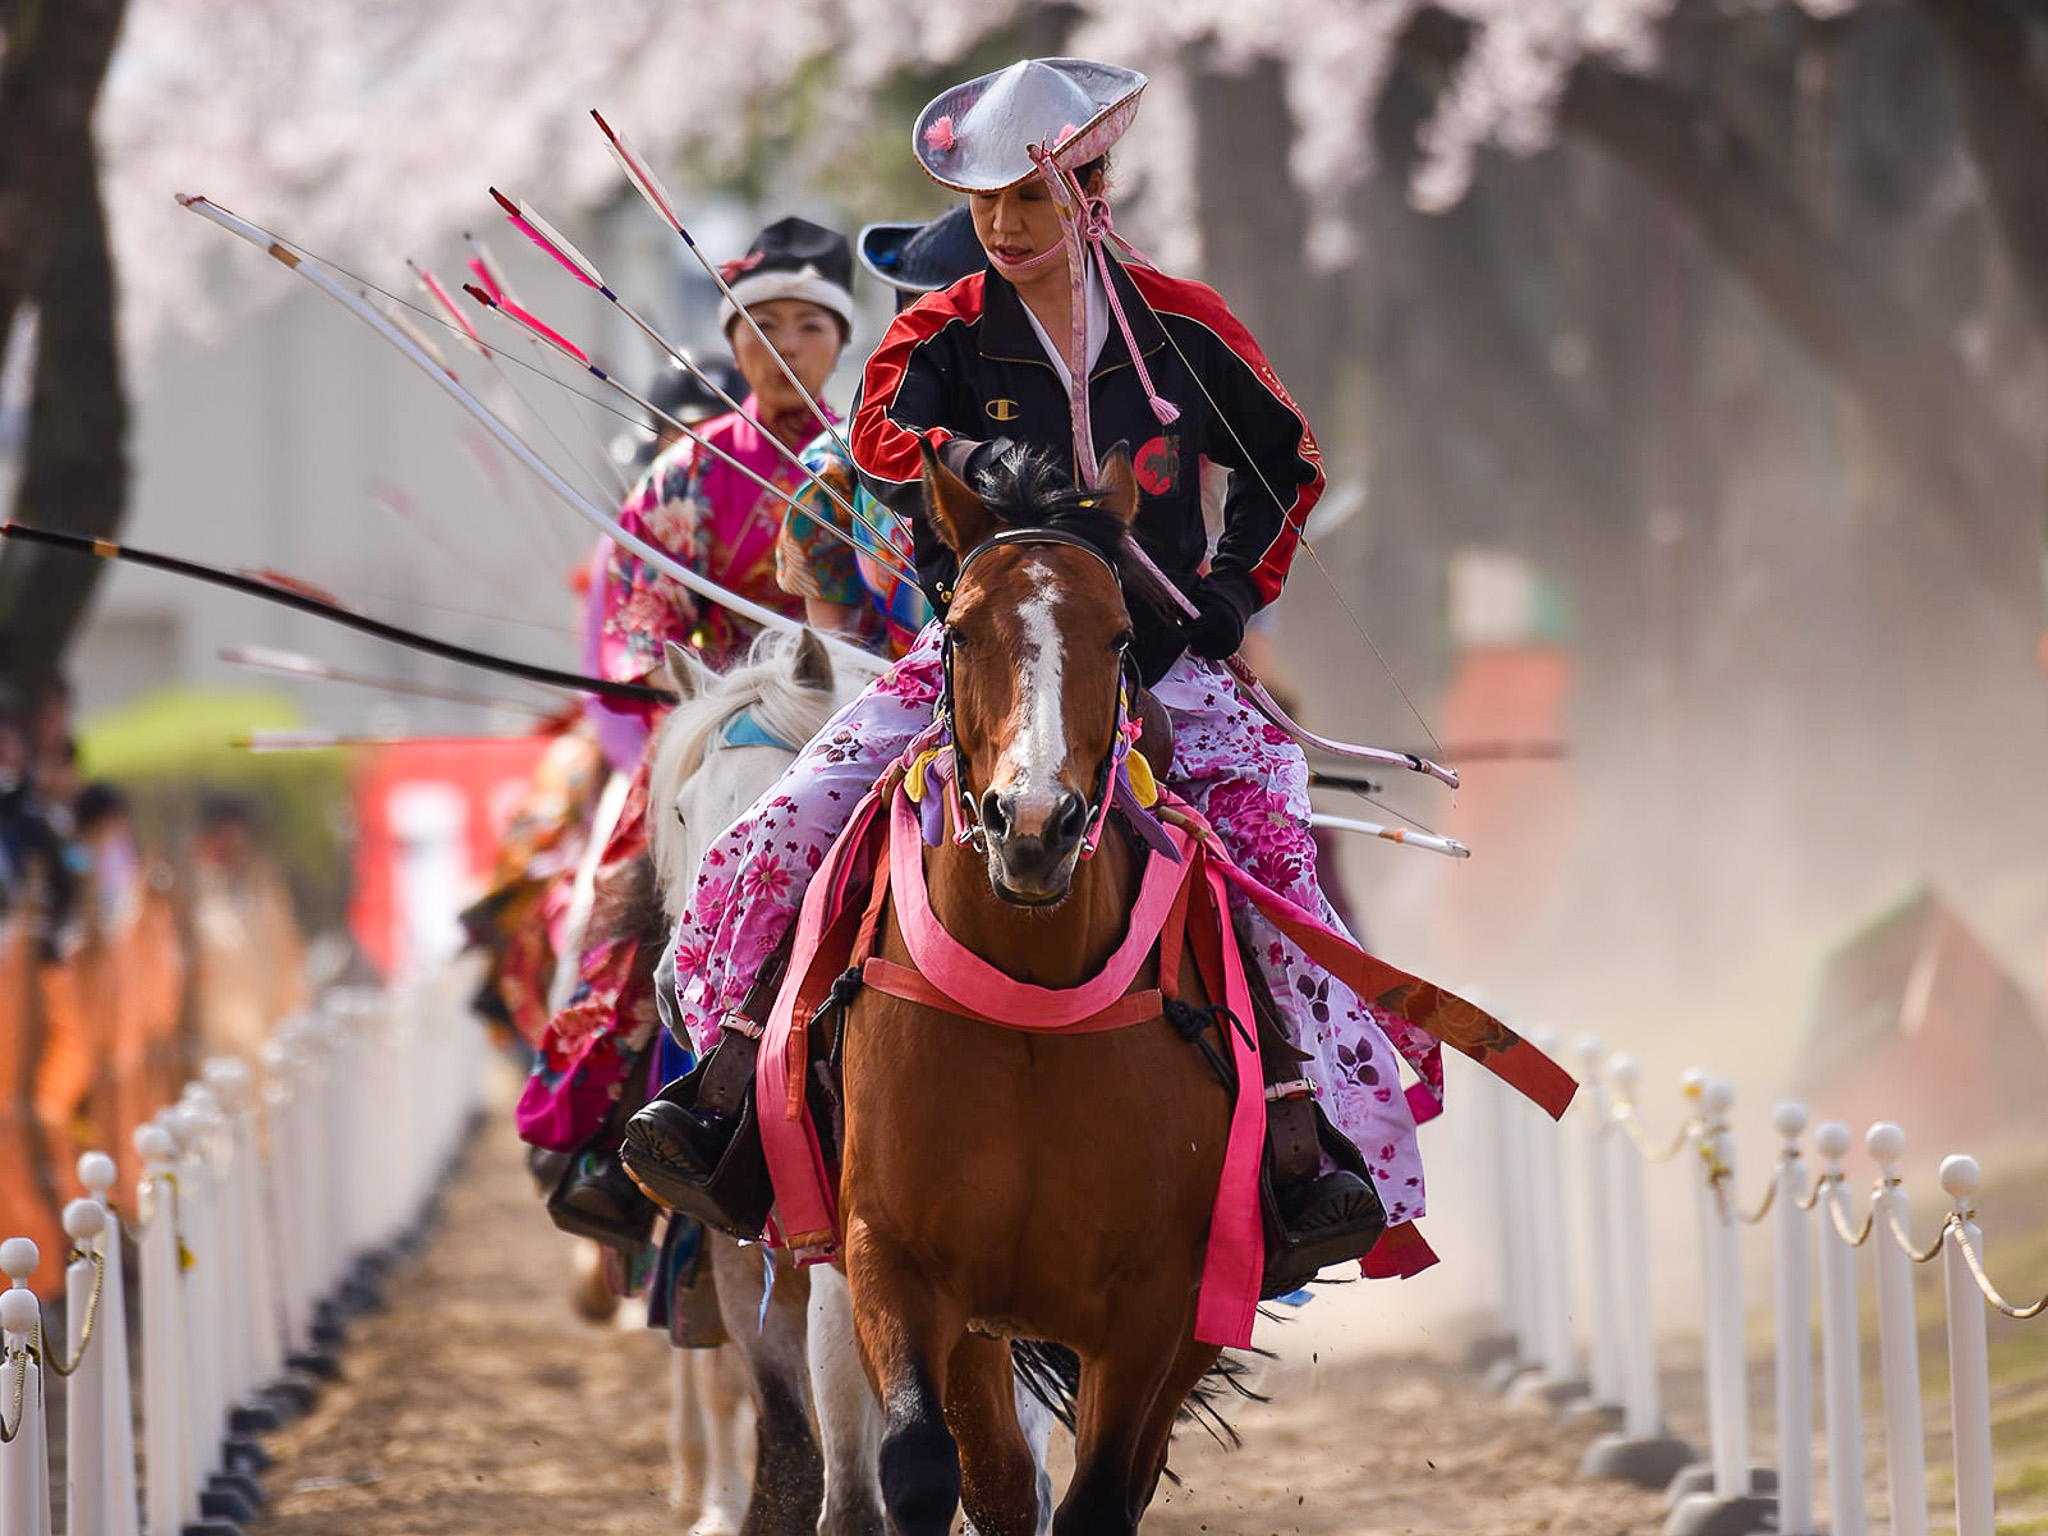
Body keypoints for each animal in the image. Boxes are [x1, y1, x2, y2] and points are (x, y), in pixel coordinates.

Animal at [822, 442, 1242, 1536]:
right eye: (961, 629)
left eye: (1122, 633)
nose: (1035, 824)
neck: (1030, 1001)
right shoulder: (894, 1258)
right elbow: (924, 1469)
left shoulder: (1155, 1300)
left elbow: (1100, 1496)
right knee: (1002, 1481)